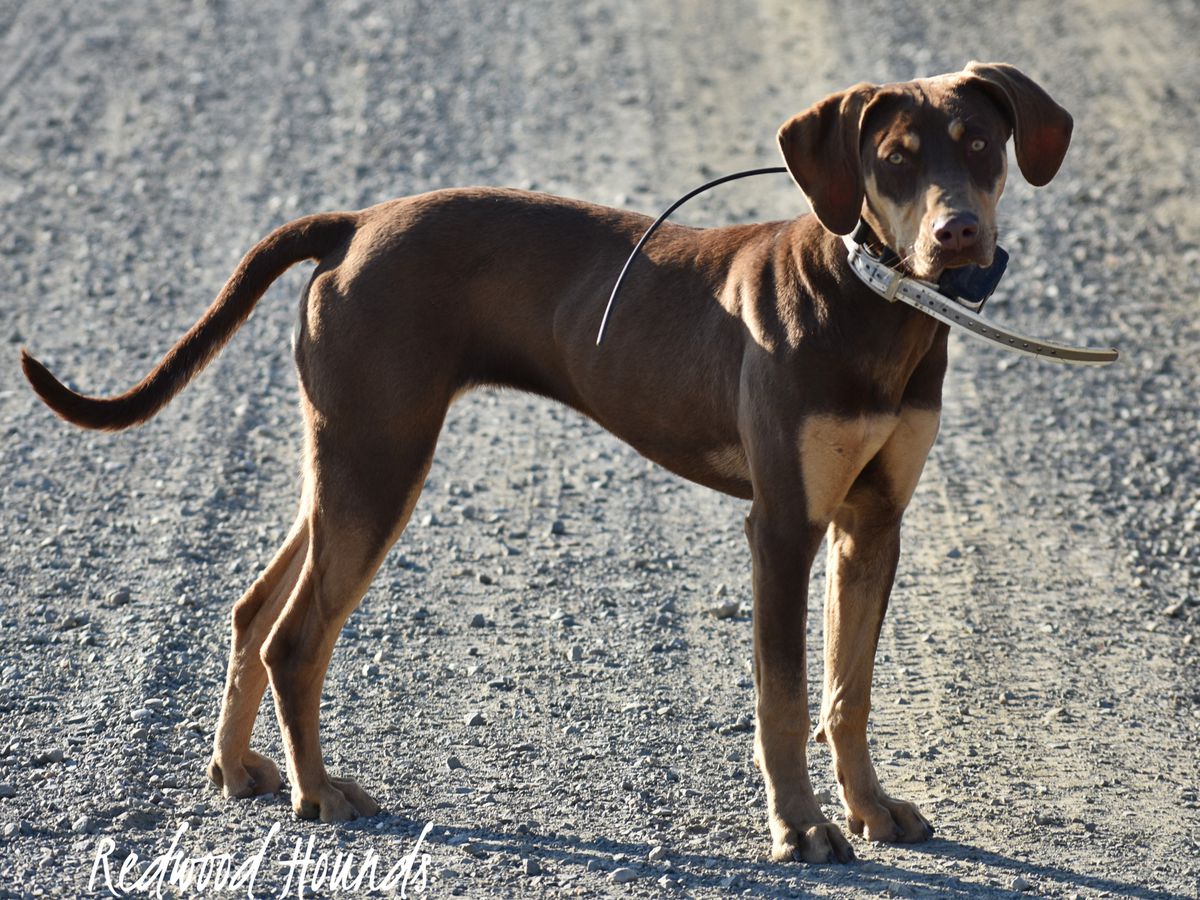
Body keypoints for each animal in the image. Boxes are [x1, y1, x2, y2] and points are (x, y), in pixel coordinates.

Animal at [18, 60, 1070, 864]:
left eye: (981, 147)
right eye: (894, 162)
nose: (958, 234)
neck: (874, 304)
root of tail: (351, 225)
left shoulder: (873, 522)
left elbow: (848, 690)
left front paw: (869, 809)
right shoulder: (782, 526)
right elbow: (783, 698)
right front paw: (802, 829)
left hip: (345, 462)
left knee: (252, 608)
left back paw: (238, 770)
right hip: (378, 463)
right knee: (296, 637)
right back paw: (319, 793)